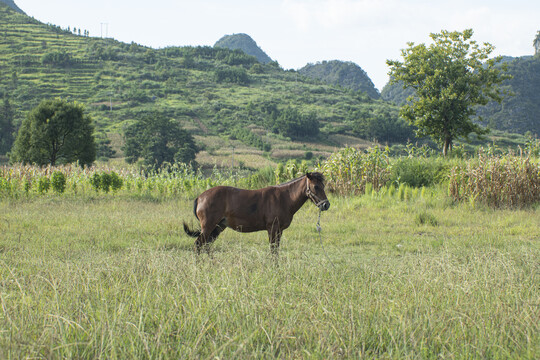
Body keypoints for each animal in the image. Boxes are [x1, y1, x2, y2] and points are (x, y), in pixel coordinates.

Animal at [185, 172, 330, 255]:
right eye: (316, 186)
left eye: (323, 186)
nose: (326, 205)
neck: (284, 198)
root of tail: (200, 197)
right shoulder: (272, 228)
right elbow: (273, 250)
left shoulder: (279, 230)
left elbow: (276, 250)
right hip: (208, 227)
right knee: (198, 245)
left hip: (218, 227)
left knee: (206, 246)